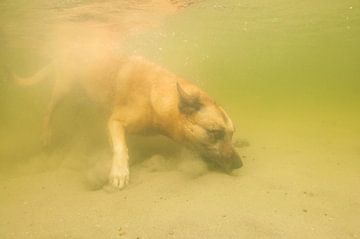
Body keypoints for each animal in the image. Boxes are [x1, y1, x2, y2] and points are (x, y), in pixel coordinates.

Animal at [11, 54, 243, 189]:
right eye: (215, 133)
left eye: (232, 133)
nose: (240, 165)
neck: (159, 94)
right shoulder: (115, 121)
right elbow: (121, 148)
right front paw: (119, 172)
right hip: (63, 88)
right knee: (48, 111)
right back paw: (46, 134)